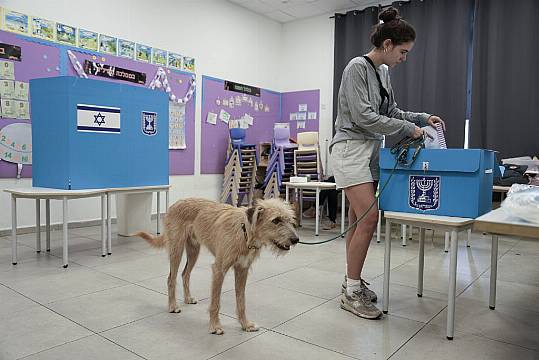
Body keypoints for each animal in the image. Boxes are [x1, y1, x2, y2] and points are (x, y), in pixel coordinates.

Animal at [137, 197, 300, 334]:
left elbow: (241, 301)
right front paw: (215, 326)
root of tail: (175, 204)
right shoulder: (219, 270)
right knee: (171, 278)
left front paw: (245, 324)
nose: (296, 240)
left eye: (290, 220)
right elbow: (215, 302)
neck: (243, 233)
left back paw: (188, 298)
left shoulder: (242, 270)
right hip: (176, 250)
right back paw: (173, 306)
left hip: (193, 251)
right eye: (276, 220)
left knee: (185, 274)